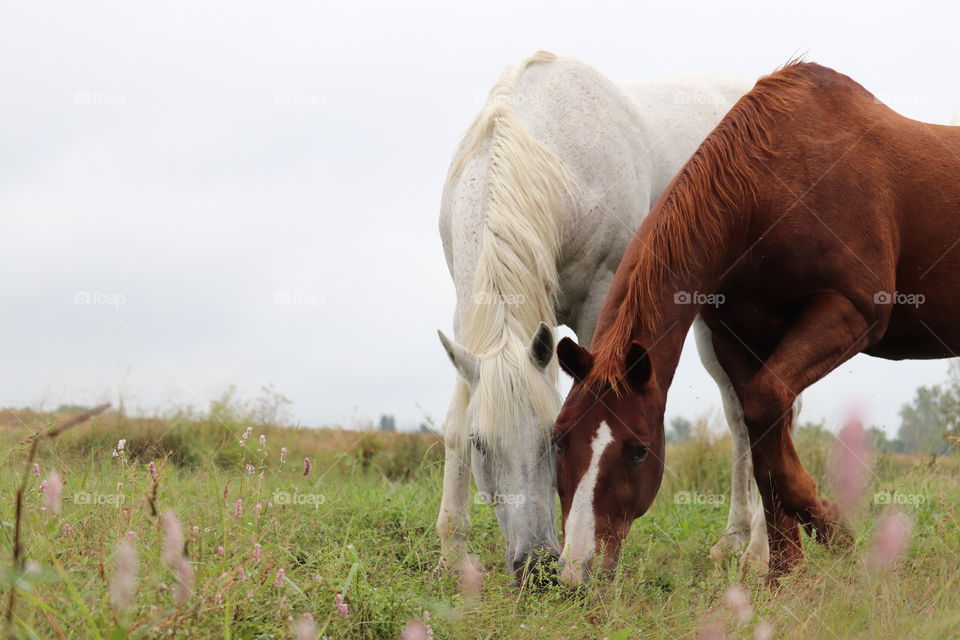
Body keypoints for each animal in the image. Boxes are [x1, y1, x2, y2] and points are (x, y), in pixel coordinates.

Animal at [438, 52, 768, 576]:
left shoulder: (600, 305)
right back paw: (733, 539)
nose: (535, 564)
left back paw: (756, 548)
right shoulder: (466, 321)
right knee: (740, 419)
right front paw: (452, 551)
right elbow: (453, 421)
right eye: (480, 445)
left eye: (550, 440)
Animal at [552, 61, 960, 580]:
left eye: (640, 448)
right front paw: (784, 569)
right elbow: (762, 437)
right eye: (558, 439)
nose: (576, 570)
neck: (769, 192)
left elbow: (767, 414)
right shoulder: (738, 337)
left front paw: (834, 535)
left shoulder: (851, 312)